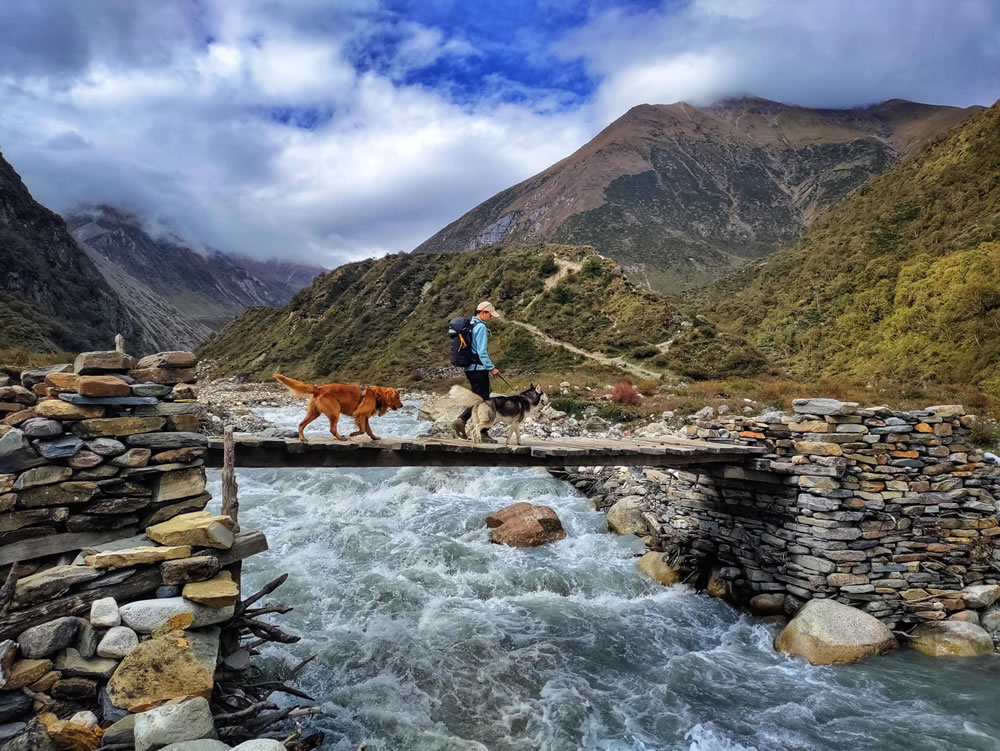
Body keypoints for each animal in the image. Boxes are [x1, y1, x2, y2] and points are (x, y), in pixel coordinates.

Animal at [276, 374, 404, 444]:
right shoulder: (359, 413)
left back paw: (302, 438)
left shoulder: (364, 417)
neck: (377, 395)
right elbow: (362, 430)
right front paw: (353, 434)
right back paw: (340, 438)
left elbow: (368, 430)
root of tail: (318, 388)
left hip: (314, 413)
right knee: (332, 429)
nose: (402, 405)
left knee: (301, 424)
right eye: (397, 397)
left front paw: (375, 437)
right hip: (335, 412)